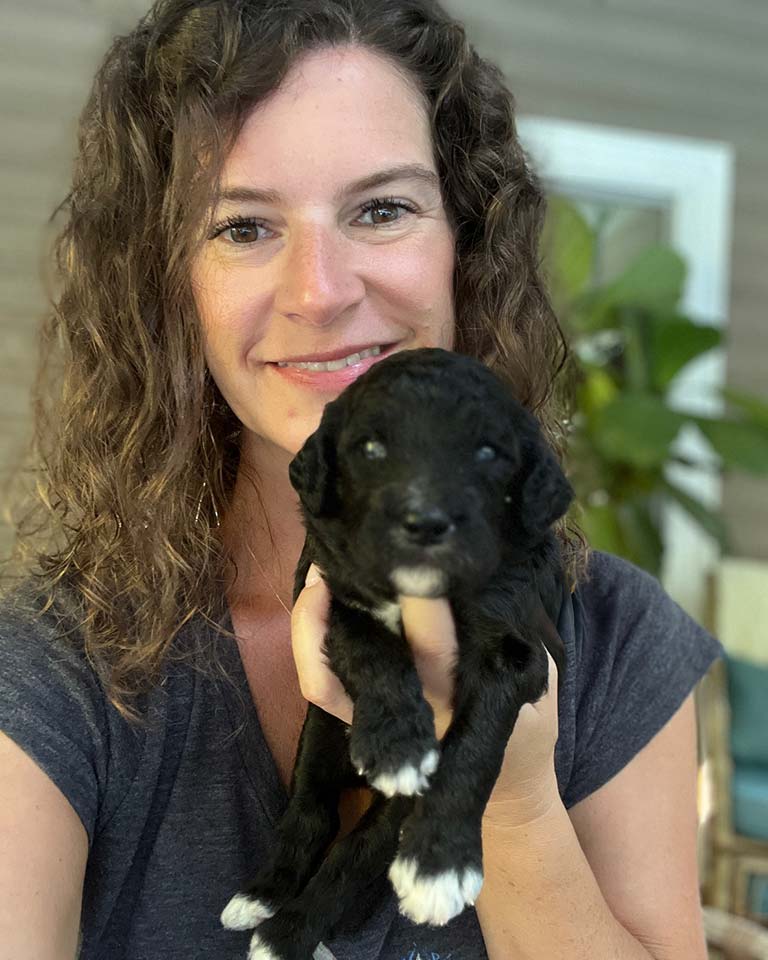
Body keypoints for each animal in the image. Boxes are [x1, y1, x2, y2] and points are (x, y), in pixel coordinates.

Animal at [220, 348, 568, 956]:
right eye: (371, 448)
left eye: (487, 452)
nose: (425, 523)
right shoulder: (334, 598)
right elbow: (372, 653)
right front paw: (396, 746)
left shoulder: (515, 648)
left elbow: (475, 744)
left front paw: (440, 868)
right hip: (322, 734)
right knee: (311, 810)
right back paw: (264, 899)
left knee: (354, 854)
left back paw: (288, 932)